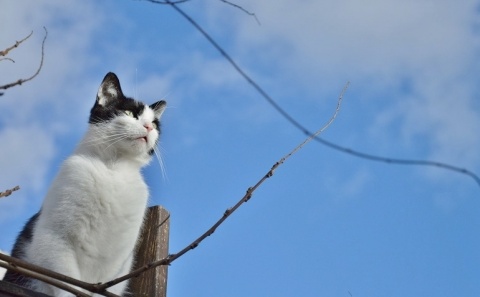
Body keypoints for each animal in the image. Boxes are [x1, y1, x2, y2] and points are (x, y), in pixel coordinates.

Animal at [2, 72, 167, 296]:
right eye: (128, 113)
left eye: (155, 124)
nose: (149, 127)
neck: (114, 169)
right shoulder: (54, 240)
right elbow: (67, 284)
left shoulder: (120, 262)